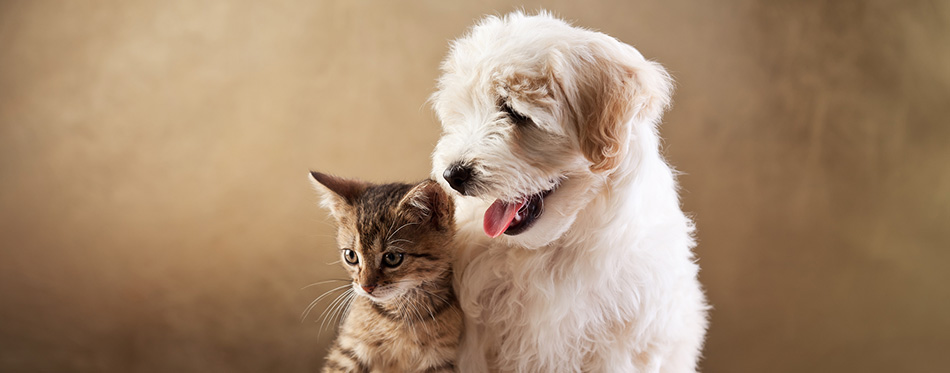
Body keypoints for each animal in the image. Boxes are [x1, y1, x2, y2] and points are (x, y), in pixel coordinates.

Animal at [310, 172, 462, 372]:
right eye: (350, 255)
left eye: (392, 257)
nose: (366, 287)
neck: (399, 314)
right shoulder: (349, 350)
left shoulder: (440, 359)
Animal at [430, 10, 708, 370]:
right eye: (461, 113)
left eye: (515, 113)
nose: (453, 174)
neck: (551, 249)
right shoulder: (476, 337)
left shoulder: (626, 341)